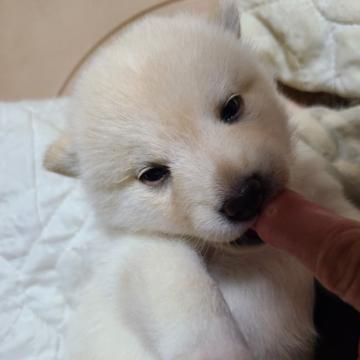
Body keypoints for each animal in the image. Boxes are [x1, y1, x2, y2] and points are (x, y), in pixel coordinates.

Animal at [44, 1, 360, 358]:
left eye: (232, 107)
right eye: (152, 174)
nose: (245, 198)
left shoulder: (316, 188)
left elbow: (339, 205)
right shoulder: (143, 251)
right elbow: (190, 296)